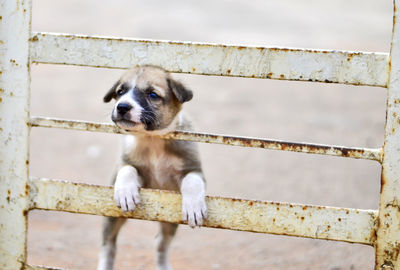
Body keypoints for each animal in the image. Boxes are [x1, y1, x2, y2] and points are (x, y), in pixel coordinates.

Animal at [97, 65, 206, 270]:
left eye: (152, 94)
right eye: (120, 92)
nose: (122, 107)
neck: (152, 141)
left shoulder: (193, 169)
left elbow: (192, 181)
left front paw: (194, 206)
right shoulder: (137, 171)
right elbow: (127, 169)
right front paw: (126, 192)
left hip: (170, 222)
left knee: (160, 244)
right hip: (112, 216)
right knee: (109, 244)